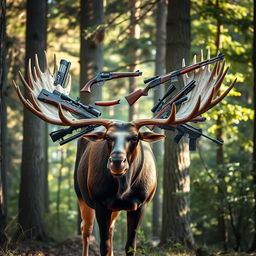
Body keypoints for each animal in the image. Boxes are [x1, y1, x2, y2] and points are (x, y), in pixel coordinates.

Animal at [13, 51, 235, 255]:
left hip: (114, 209)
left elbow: (130, 246)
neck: (123, 188)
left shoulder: (141, 204)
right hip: (81, 195)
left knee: (110, 230)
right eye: (108, 138)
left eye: (135, 138)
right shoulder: (100, 203)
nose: (117, 161)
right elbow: (103, 245)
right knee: (86, 231)